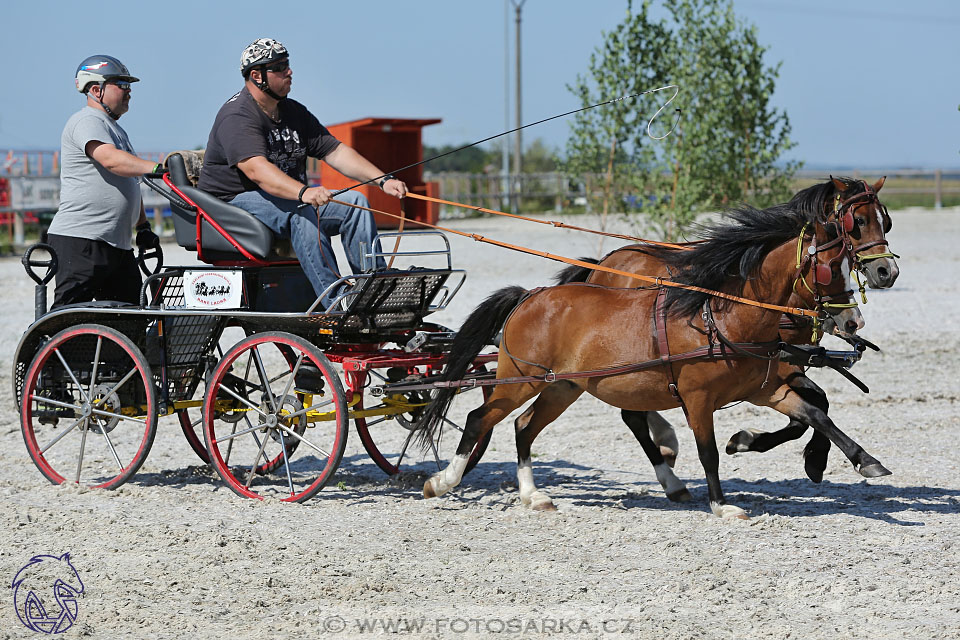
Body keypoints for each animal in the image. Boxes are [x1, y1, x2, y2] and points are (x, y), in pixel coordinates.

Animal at [552, 175, 896, 490]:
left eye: (886, 222)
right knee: (632, 413)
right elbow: (813, 408)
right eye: (858, 222)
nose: (887, 272)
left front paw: (759, 443)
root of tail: (602, 264)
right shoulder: (780, 364)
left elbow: (814, 406)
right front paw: (801, 454)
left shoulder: (779, 366)